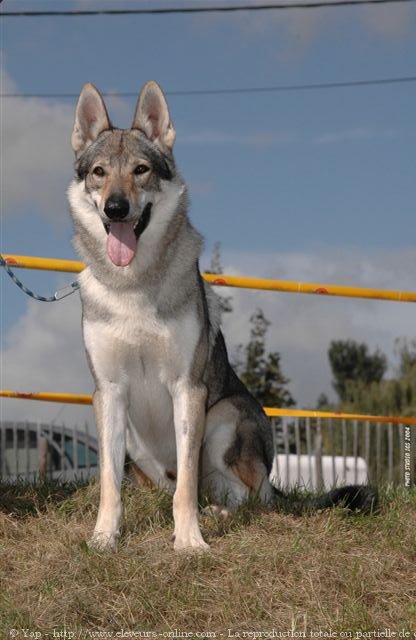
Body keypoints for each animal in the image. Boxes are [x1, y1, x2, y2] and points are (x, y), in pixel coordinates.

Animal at [68, 79, 376, 552]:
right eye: (99, 172)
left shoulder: (188, 389)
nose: (115, 208)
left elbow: (185, 489)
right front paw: (104, 539)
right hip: (139, 447)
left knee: (249, 498)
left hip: (224, 417)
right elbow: (109, 484)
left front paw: (190, 542)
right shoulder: (109, 392)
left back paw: (221, 513)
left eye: (141, 170)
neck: (134, 285)